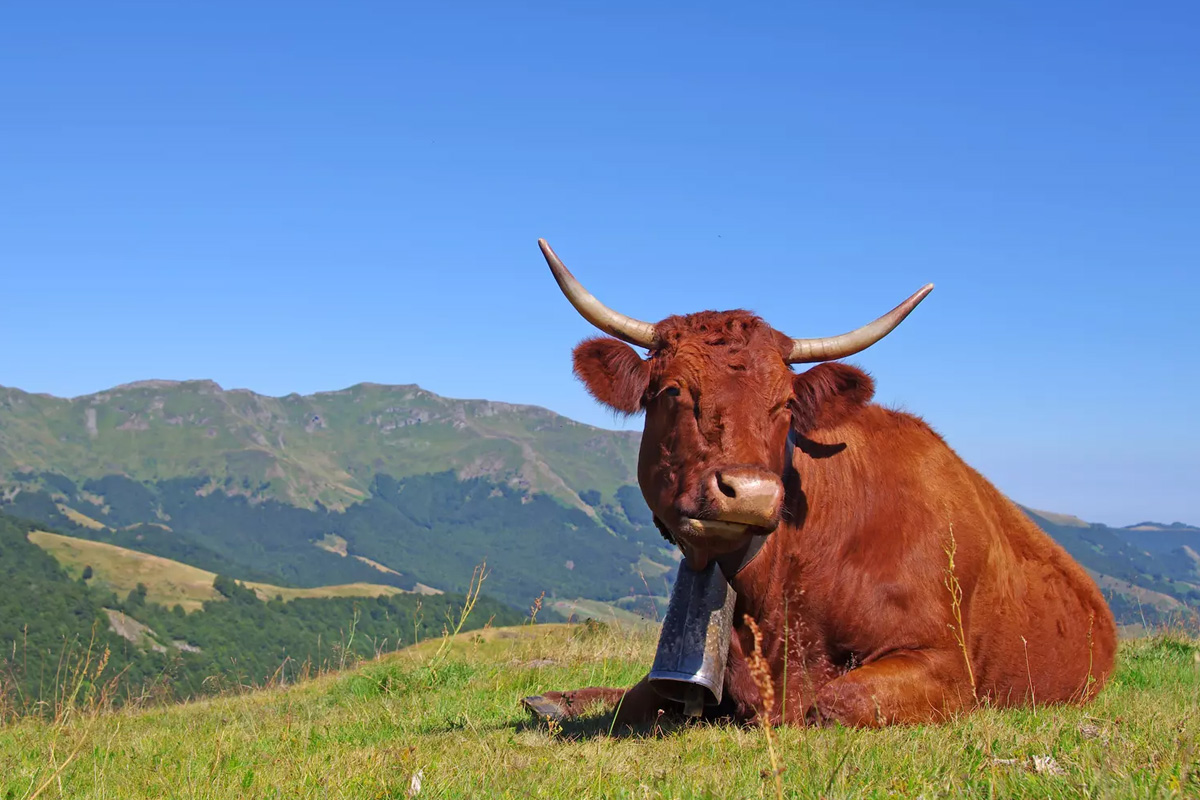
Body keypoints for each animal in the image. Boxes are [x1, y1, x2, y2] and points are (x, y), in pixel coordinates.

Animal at [530, 236, 1118, 724]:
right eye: (674, 390)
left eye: (786, 403)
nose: (750, 494)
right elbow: (643, 693)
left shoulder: (949, 665)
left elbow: (833, 701)